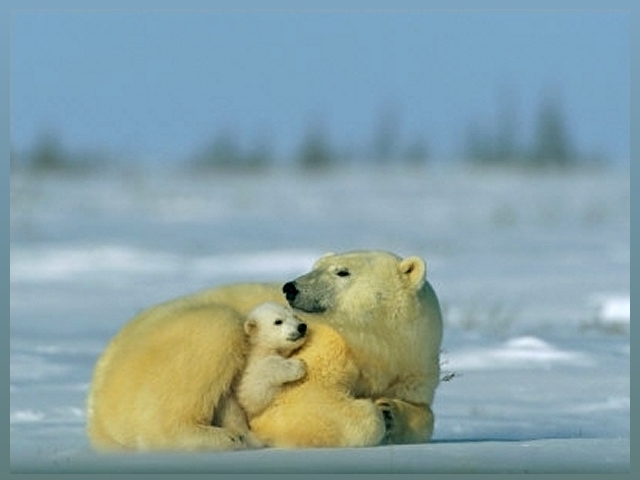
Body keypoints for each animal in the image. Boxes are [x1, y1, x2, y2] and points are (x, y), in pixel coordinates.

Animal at [85, 249, 442, 452]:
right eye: (316, 264)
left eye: (342, 271)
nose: (291, 287)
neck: (380, 348)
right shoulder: (326, 344)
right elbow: (299, 397)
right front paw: (375, 415)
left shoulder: (416, 363)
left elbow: (424, 413)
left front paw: (391, 411)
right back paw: (224, 438)